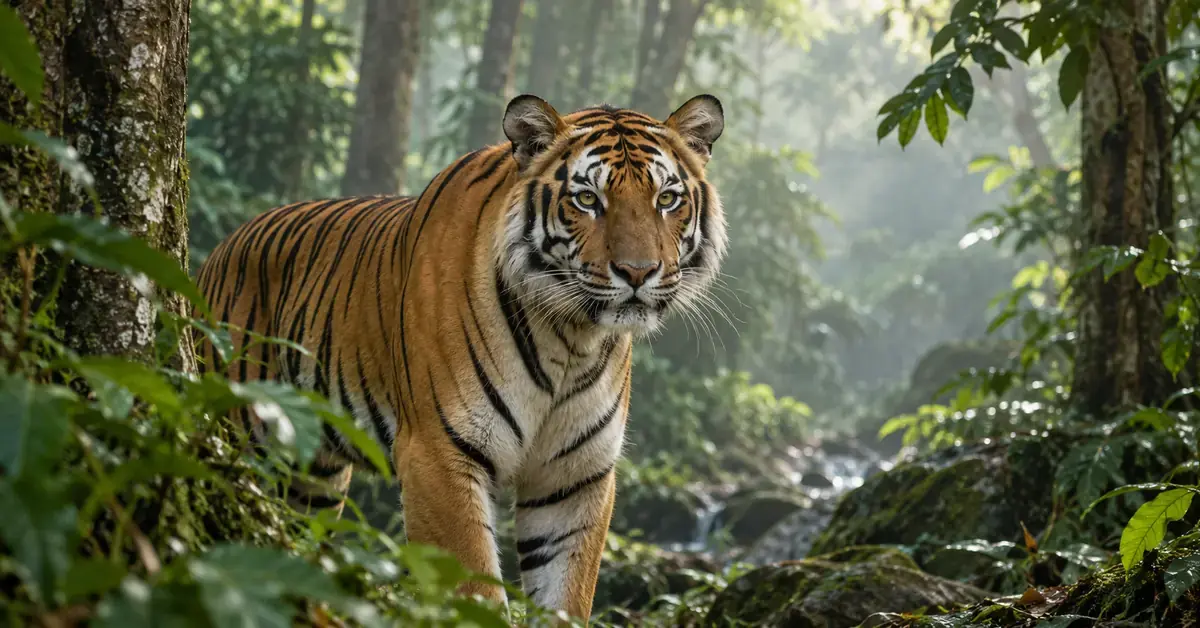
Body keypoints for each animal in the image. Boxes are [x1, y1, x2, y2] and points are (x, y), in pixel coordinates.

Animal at [194, 93, 727, 619]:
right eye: (588, 199)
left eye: (667, 199)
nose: (638, 272)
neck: (571, 338)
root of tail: (220, 247)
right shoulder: (439, 453)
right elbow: (474, 594)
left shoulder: (576, 477)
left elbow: (567, 598)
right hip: (240, 428)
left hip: (315, 476)